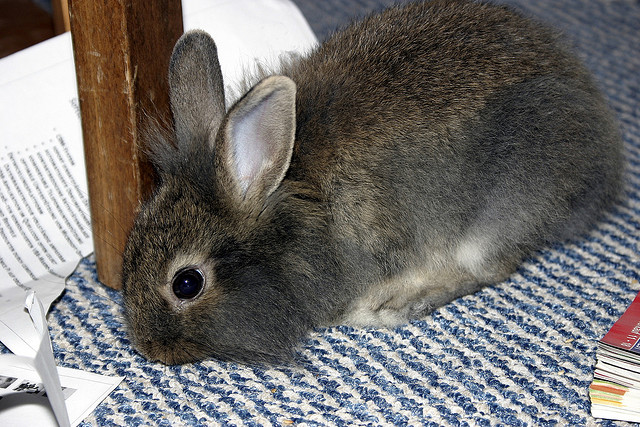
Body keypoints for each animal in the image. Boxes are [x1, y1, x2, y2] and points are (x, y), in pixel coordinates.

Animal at [121, 0, 623, 365]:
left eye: (187, 283)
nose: (149, 348)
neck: (292, 194)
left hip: (496, 213)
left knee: (490, 268)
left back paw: (395, 302)